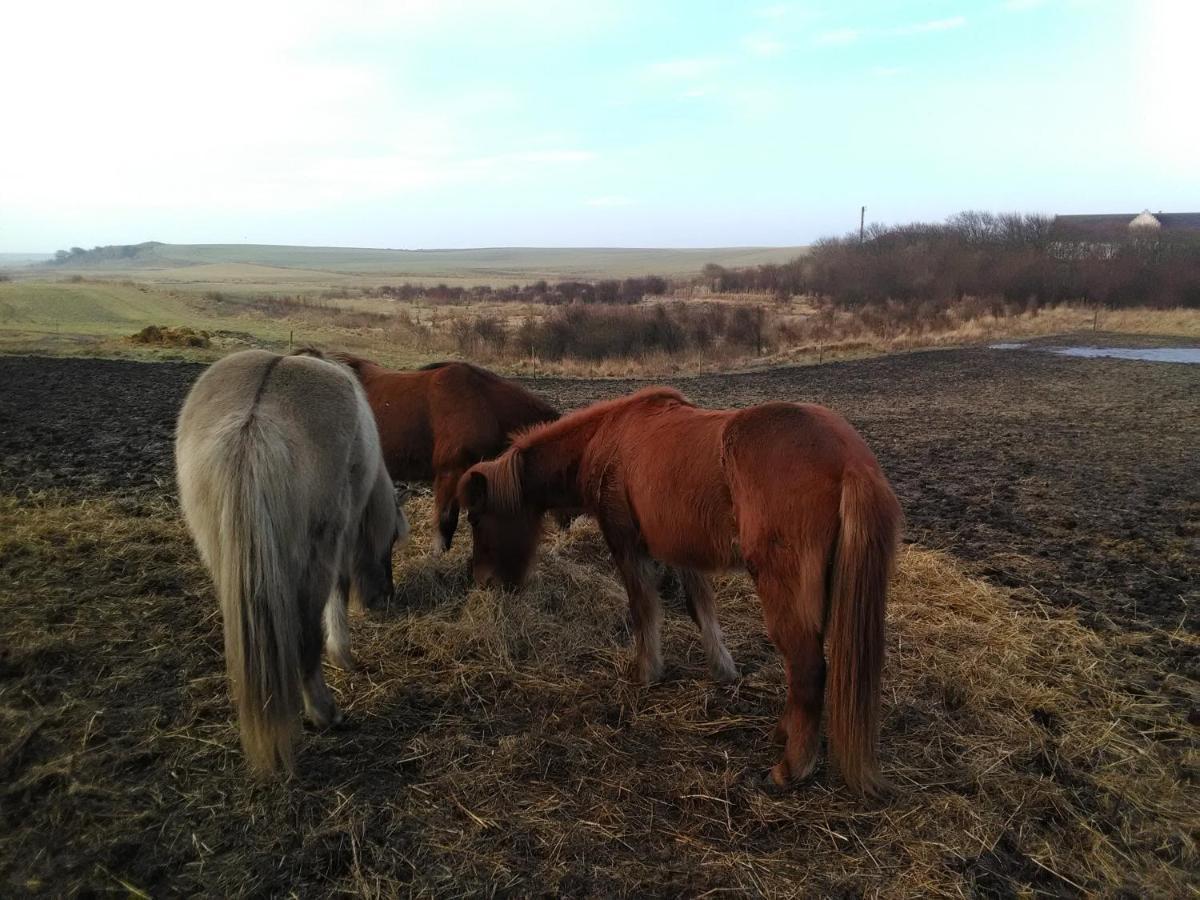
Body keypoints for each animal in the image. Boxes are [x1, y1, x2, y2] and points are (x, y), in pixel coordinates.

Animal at [175, 350, 408, 777]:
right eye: (390, 544)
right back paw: (325, 713)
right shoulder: (341, 536)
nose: (386, 597)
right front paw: (344, 655)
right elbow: (339, 591)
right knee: (305, 639)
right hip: (315, 554)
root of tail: (254, 420)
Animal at [458, 386, 902, 796]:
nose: (482, 581)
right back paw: (785, 732)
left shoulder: (627, 543)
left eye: (477, 518)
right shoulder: (683, 549)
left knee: (807, 670)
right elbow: (700, 608)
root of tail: (851, 462)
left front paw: (647, 671)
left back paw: (791, 766)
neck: (606, 439)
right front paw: (722, 669)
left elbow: (644, 609)